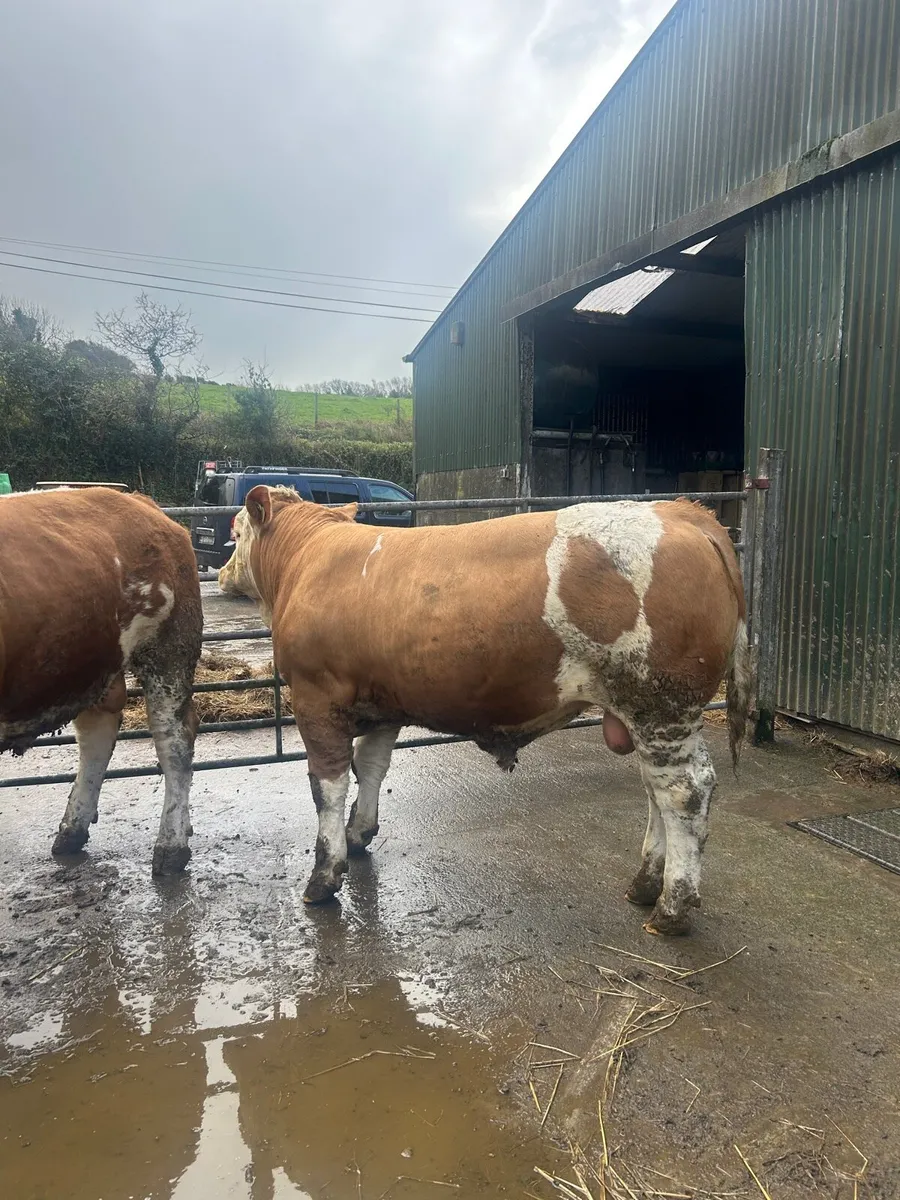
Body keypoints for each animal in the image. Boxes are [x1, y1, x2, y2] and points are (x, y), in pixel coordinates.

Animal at [0, 487, 202, 873]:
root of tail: (139, 501)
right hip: (88, 662)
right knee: (96, 733)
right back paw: (71, 831)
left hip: (168, 649)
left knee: (174, 739)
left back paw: (170, 847)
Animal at [219, 486, 751, 935]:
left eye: (236, 532)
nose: (221, 573)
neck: (308, 560)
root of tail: (680, 511)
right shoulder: (384, 703)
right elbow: (370, 766)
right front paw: (359, 833)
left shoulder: (316, 697)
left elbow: (326, 786)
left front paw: (324, 877)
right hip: (647, 714)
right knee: (656, 792)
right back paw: (644, 885)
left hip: (660, 704)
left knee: (684, 792)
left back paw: (672, 908)